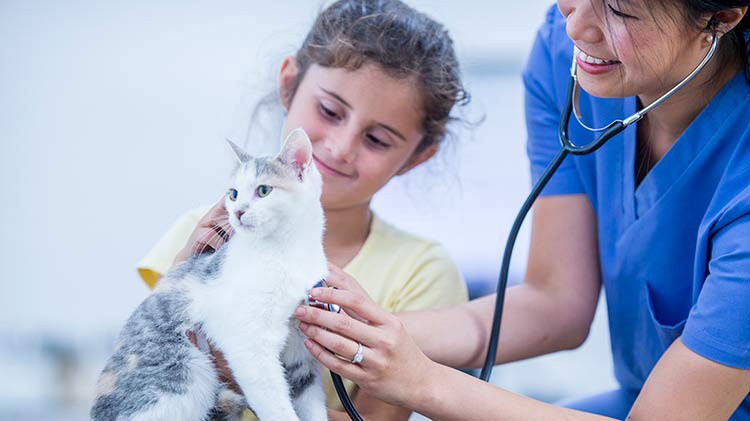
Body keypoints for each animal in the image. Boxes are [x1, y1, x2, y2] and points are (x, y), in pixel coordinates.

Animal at [90, 129, 328, 420]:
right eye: (233, 193)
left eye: (263, 190)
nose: (238, 211)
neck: (287, 252)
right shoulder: (250, 347)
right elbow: (278, 408)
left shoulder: (300, 354)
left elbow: (312, 406)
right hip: (183, 374)